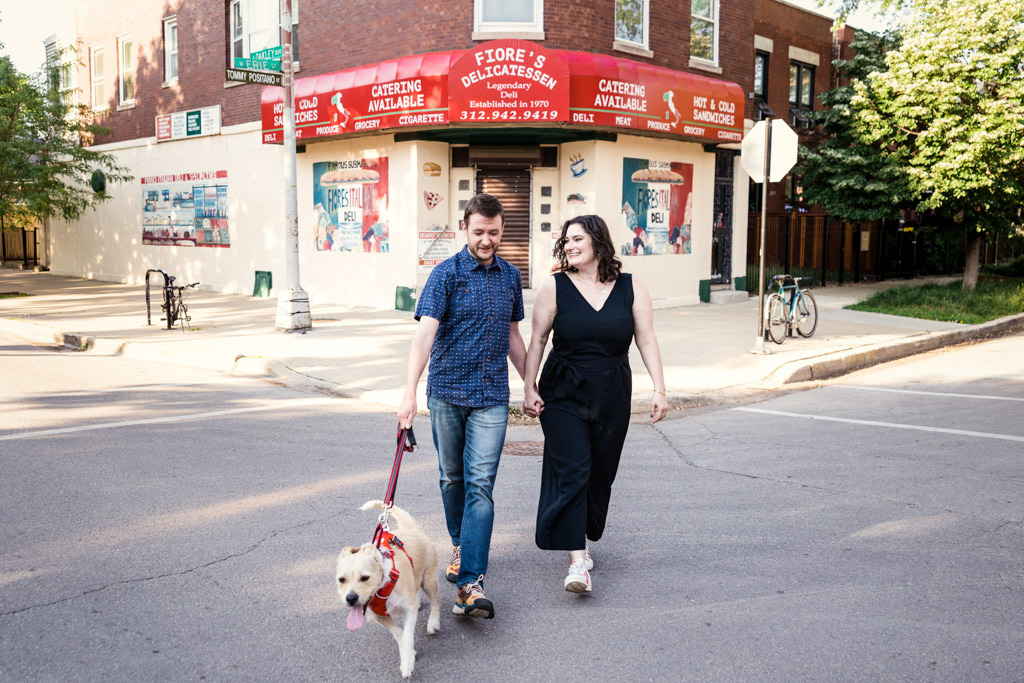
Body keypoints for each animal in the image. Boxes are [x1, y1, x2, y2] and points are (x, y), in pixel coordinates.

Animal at [337, 499, 442, 679]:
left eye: (365, 578)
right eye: (341, 580)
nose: (351, 599)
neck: (383, 586)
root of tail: (410, 528)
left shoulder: (409, 609)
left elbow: (407, 635)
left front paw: (407, 663)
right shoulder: (380, 616)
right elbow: (399, 634)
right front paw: (410, 654)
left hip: (429, 581)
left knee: (436, 601)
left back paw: (433, 622)